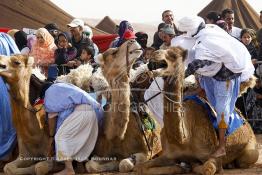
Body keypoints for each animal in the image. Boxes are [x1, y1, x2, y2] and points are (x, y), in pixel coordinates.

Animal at [84, 39, 162, 172]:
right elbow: (90, 165)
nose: (132, 40)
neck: (114, 135)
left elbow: (124, 164)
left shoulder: (148, 151)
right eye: (114, 52)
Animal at [136, 46, 258, 175]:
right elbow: (140, 167)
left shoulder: (211, 155)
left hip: (250, 150)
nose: (155, 53)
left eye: (174, 55)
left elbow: (208, 168)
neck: (183, 140)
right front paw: (181, 167)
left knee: (243, 160)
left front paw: (189, 166)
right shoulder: (168, 155)